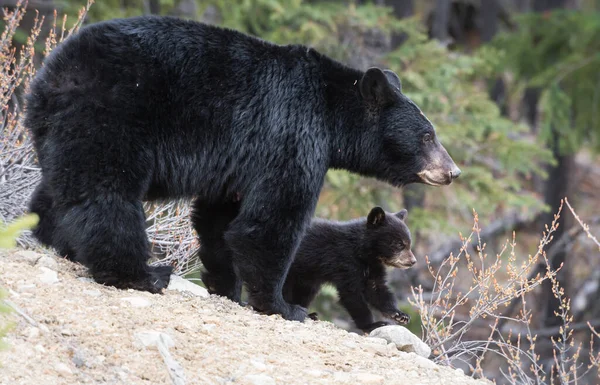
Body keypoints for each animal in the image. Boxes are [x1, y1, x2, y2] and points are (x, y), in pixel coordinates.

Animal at [282, 206, 414, 332]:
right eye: (399, 244)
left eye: (409, 243)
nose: (413, 261)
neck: (364, 253)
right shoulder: (345, 262)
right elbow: (352, 294)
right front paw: (372, 324)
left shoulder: (373, 267)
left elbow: (377, 289)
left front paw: (399, 314)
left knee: (305, 292)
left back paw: (309, 314)